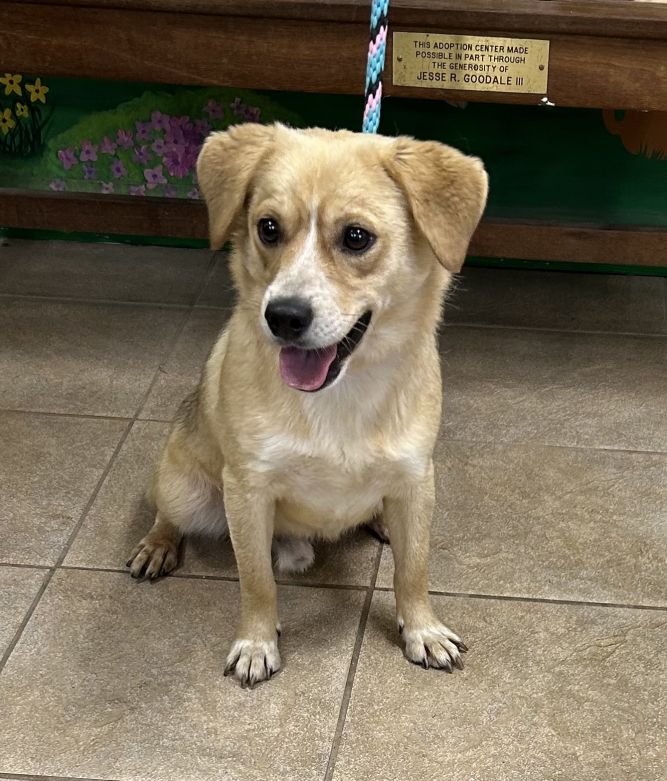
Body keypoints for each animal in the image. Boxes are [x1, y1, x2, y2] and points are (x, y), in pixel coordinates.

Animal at [128, 125, 488, 684]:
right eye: (268, 228)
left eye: (357, 237)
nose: (283, 316)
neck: (341, 394)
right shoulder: (248, 489)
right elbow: (256, 580)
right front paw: (256, 642)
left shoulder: (415, 478)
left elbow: (413, 570)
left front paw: (421, 629)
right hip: (184, 486)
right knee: (169, 512)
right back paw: (158, 545)